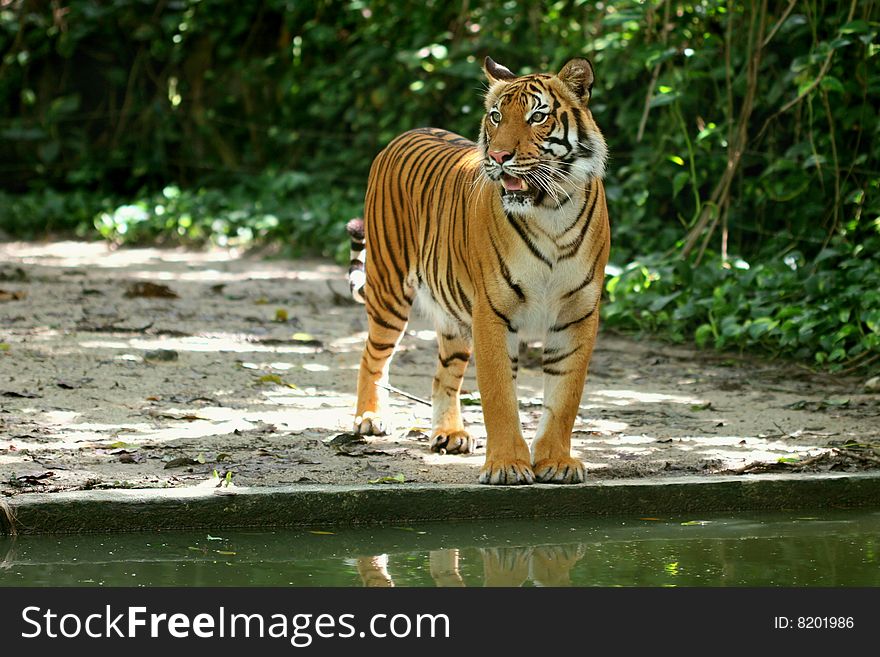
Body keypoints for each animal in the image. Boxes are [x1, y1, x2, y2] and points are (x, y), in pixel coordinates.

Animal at [348, 56, 608, 484]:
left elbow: (564, 396)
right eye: (496, 116)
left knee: (443, 375)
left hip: (454, 316)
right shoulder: (493, 312)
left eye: (538, 116)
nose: (500, 157)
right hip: (388, 289)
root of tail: (405, 133)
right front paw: (507, 465)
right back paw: (369, 418)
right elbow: (500, 396)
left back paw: (449, 434)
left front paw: (556, 461)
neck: (550, 212)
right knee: (373, 355)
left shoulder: (577, 315)